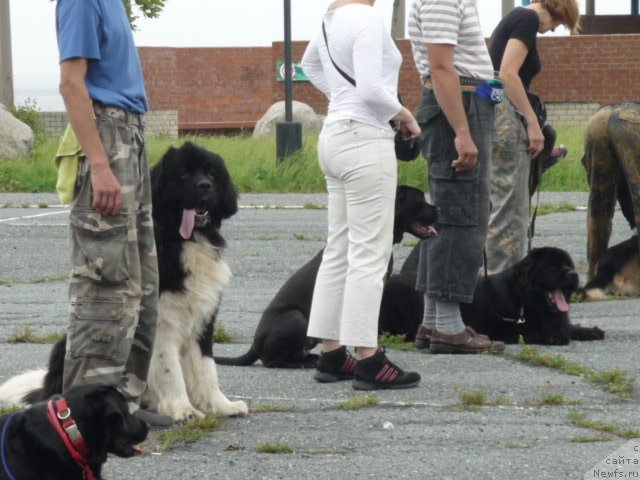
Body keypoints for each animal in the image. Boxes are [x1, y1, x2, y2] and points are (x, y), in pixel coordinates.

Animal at [0, 143, 248, 424]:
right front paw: (183, 409)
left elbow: (207, 368)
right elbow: (170, 370)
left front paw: (221, 405)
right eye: (183, 174)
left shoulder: (203, 319)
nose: (205, 186)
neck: (183, 240)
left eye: (212, 174)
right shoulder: (161, 323)